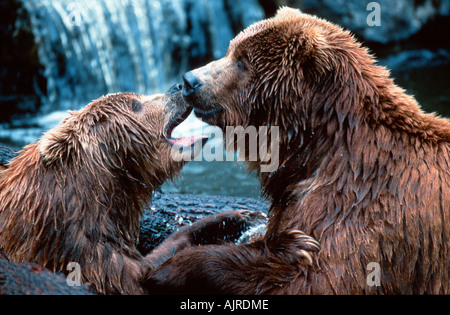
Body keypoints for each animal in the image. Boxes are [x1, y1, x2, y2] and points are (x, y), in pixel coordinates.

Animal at [145, 7, 450, 296]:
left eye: (242, 61)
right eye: (231, 48)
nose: (190, 79)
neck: (316, 148)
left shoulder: (359, 202)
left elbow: (319, 279)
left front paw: (177, 266)